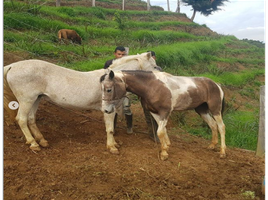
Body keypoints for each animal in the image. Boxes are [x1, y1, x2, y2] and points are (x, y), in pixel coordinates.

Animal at [3, 51, 159, 152]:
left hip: (36, 99)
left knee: (30, 119)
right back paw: (33, 144)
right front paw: (112, 147)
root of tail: (12, 66)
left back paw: (42, 141)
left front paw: (114, 144)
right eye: (154, 65)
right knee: (22, 119)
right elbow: (109, 129)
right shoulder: (108, 110)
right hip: (26, 100)